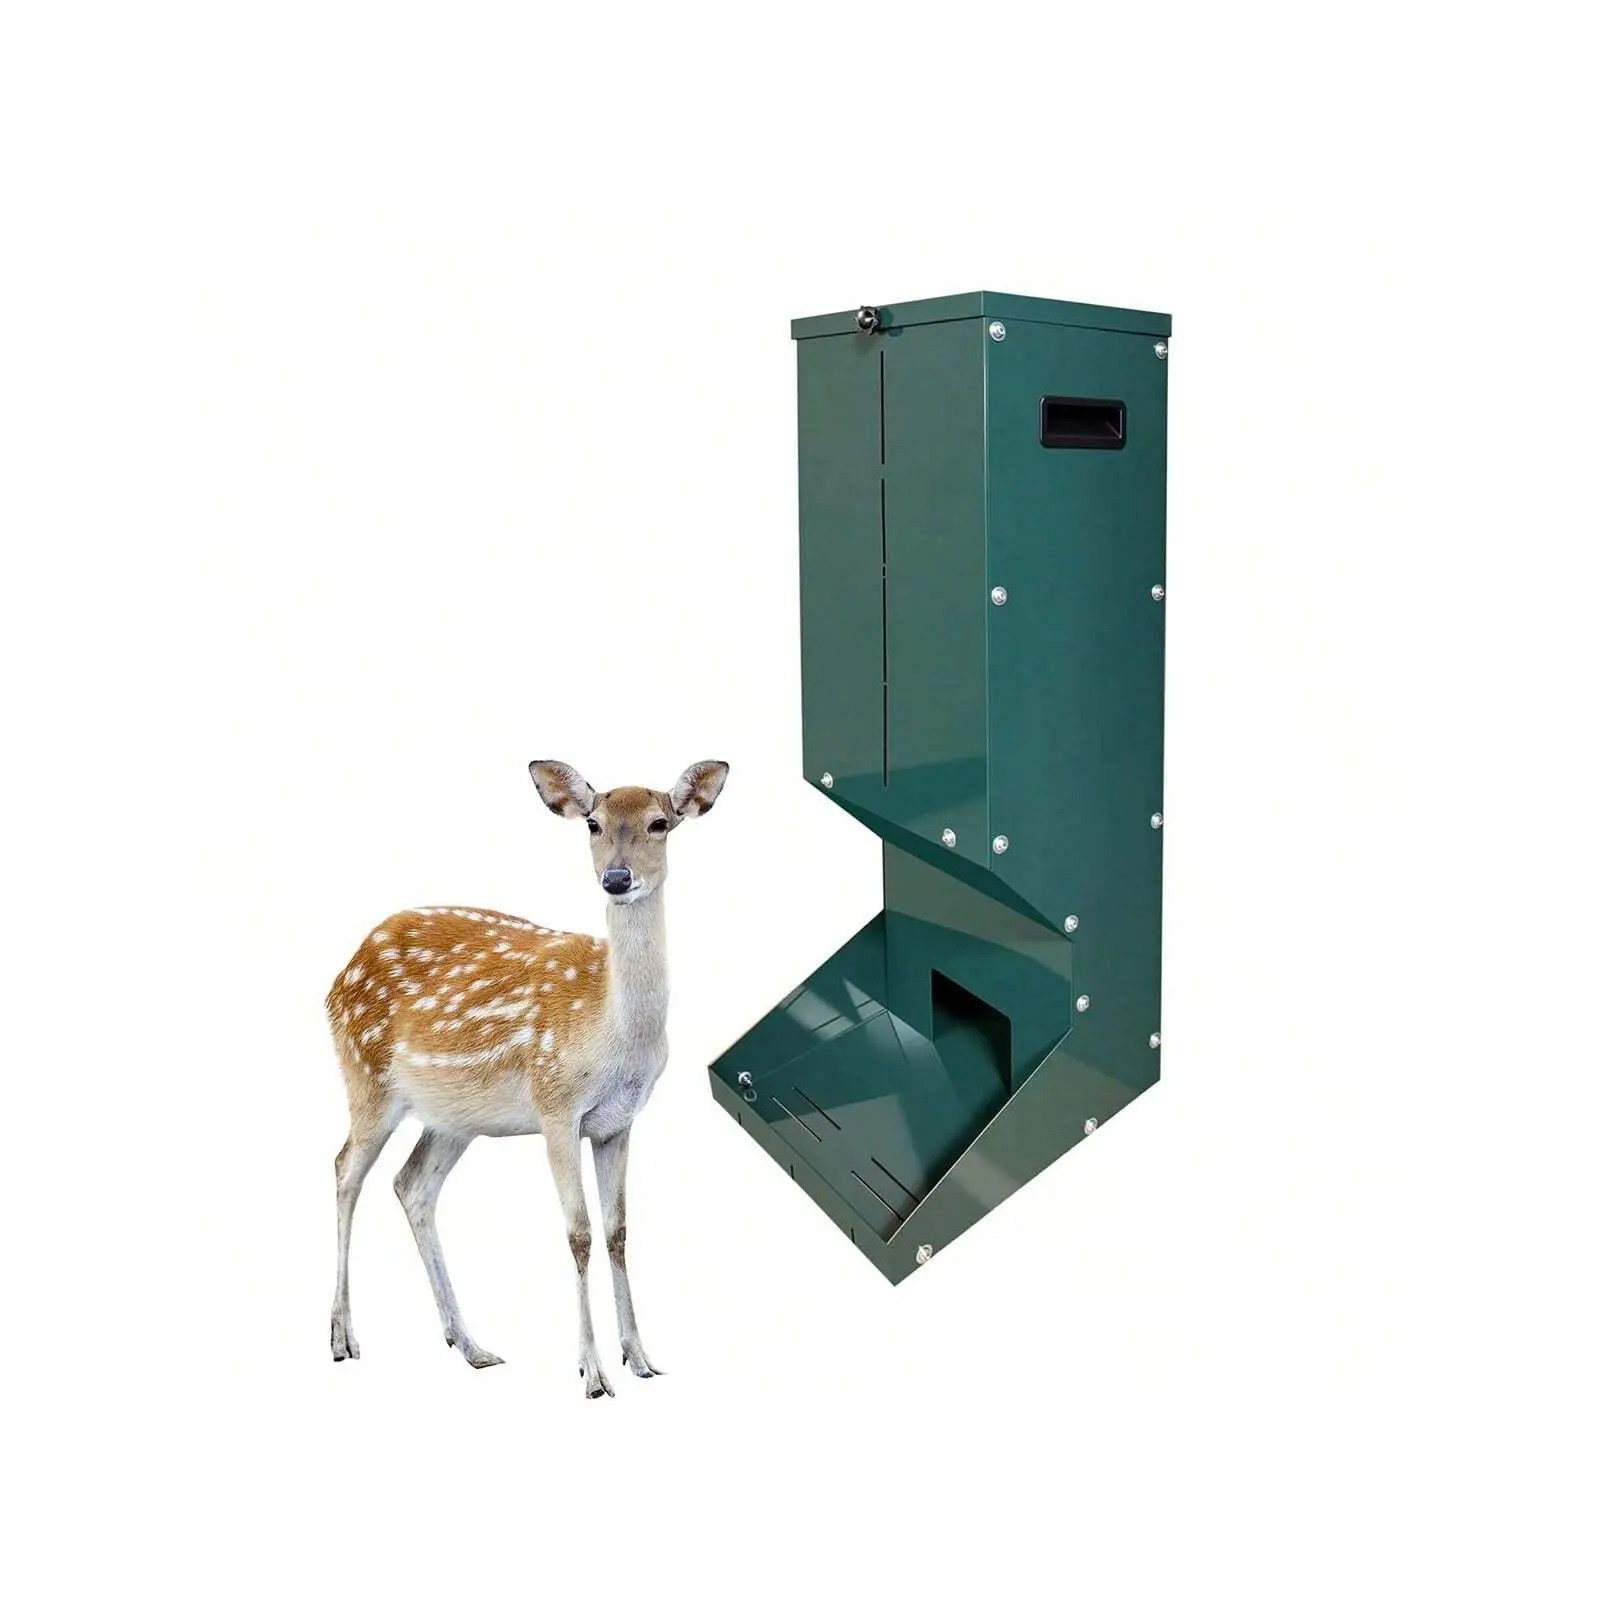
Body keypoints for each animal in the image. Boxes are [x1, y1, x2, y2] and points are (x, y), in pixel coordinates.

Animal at [326, 758, 729, 1398]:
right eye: (592, 823)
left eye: (659, 822)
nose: (617, 878)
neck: (614, 1034)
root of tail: (339, 975)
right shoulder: (555, 1106)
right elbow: (579, 1232)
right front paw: (592, 1373)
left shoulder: (617, 1123)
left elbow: (617, 1230)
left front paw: (641, 1358)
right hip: (366, 1077)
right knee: (345, 1171)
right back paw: (343, 1338)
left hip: (453, 1117)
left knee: (412, 1185)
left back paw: (470, 1345)